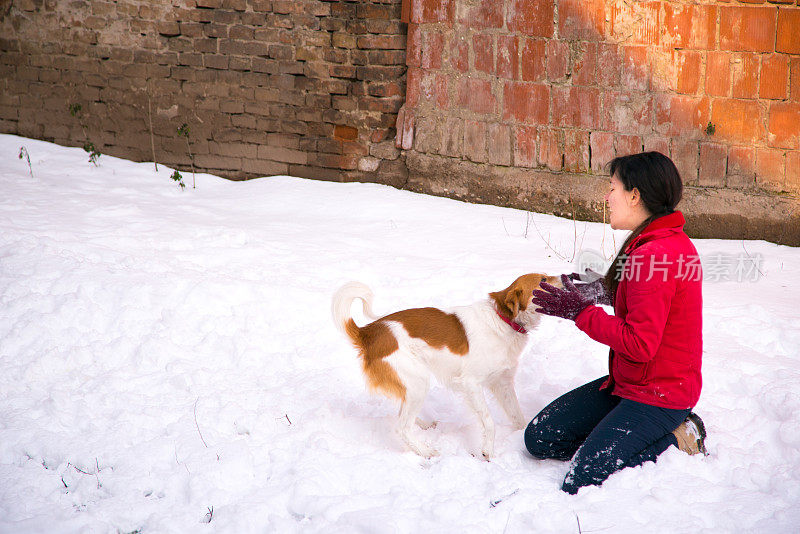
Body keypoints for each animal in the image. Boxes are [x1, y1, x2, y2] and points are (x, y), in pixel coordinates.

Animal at [328, 274, 560, 458]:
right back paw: (425, 451)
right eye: (543, 279)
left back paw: (422, 425)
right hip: (418, 382)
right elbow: (489, 421)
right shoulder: (471, 383)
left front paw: (519, 434)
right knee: (401, 427)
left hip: (411, 385)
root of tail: (368, 332)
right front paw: (487, 451)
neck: (503, 320)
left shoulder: (502, 383)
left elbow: (518, 416)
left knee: (403, 414)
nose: (566, 277)